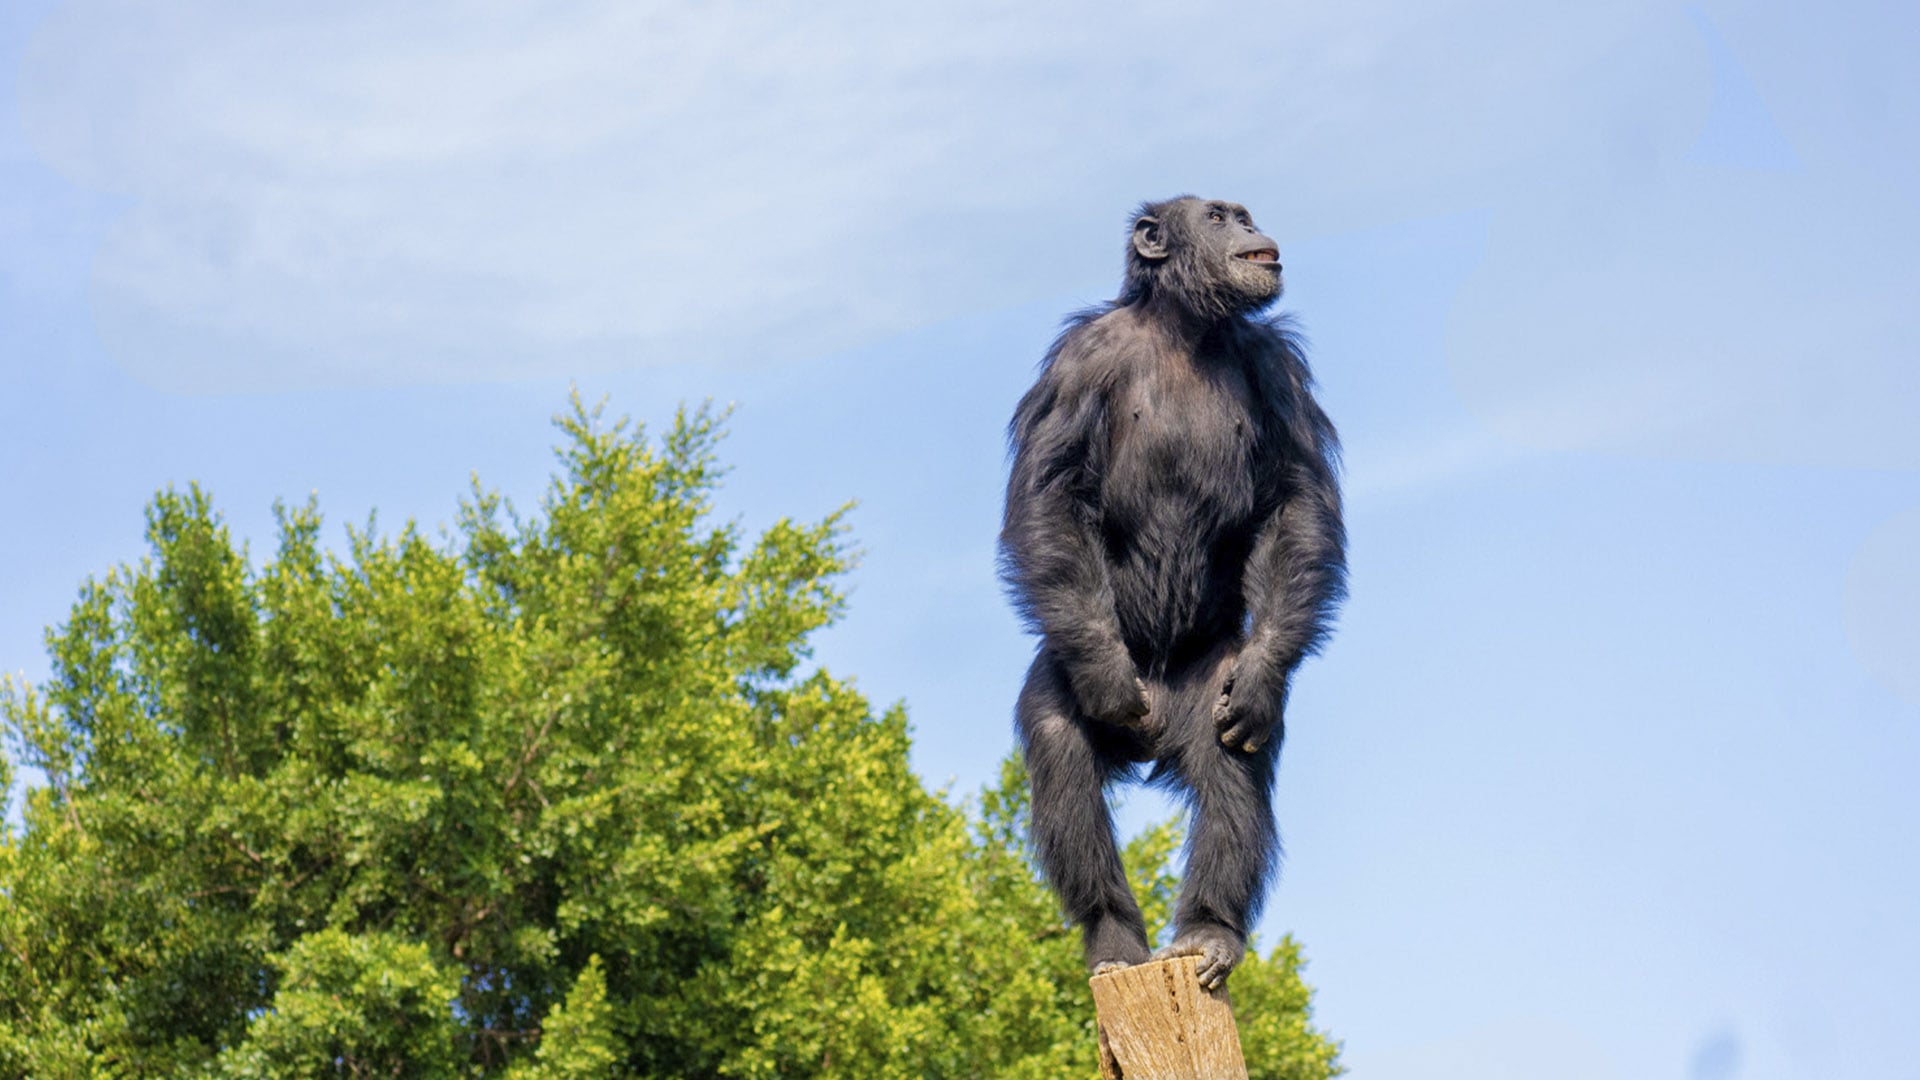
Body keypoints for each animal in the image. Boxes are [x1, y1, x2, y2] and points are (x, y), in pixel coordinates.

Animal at [998, 191, 1344, 983]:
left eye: (1240, 214)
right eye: (1217, 217)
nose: (1249, 228)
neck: (1186, 327)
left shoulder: (1279, 366)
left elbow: (1295, 498)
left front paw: (1265, 671)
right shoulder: (1078, 362)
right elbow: (1051, 493)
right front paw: (1105, 679)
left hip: (1206, 685)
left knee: (1230, 758)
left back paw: (1208, 929)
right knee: (1062, 745)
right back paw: (1112, 937)